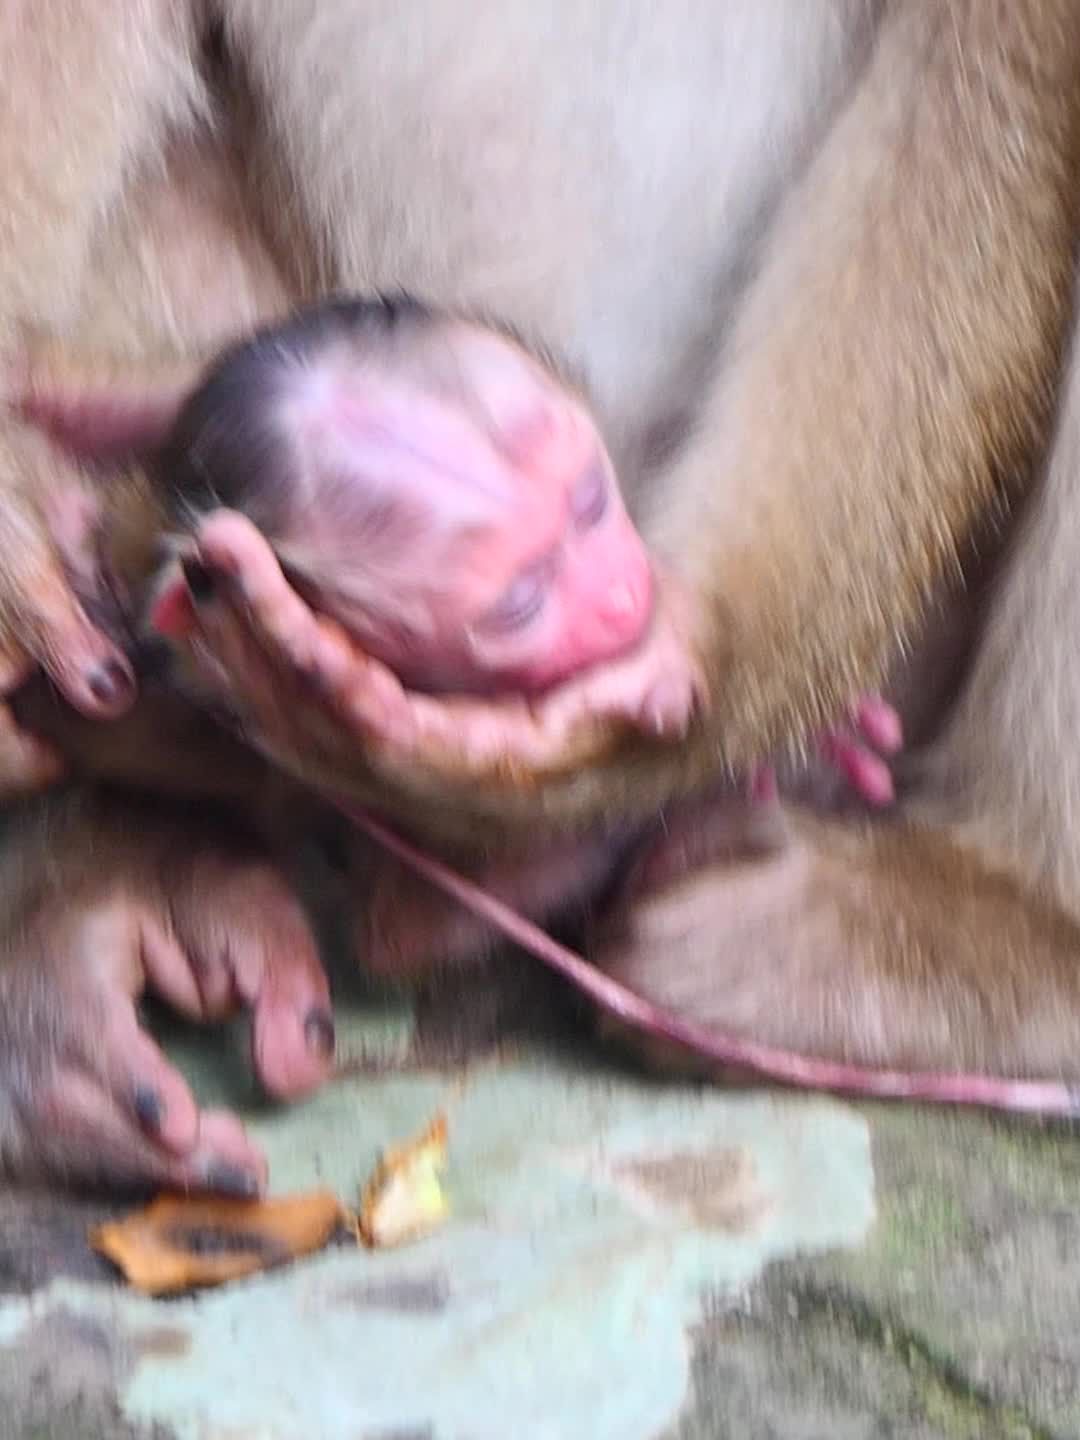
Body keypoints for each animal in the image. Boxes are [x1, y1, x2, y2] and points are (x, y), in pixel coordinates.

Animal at [0, 0, 1076, 1192]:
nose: (614, 595)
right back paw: (150, 855)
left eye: (590, 504)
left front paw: (689, 675)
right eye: (512, 596)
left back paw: (975, 936)